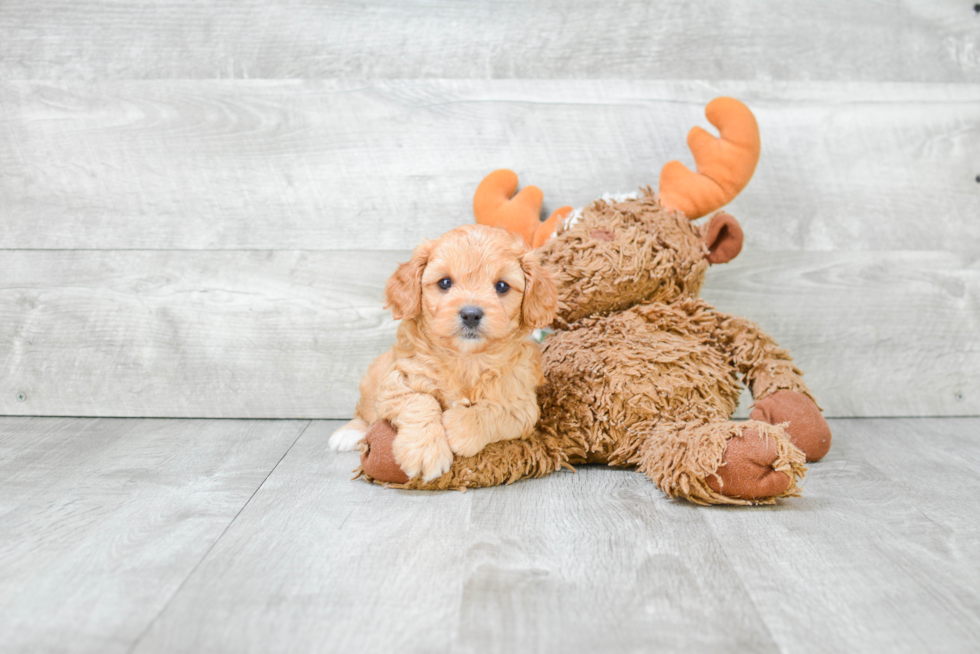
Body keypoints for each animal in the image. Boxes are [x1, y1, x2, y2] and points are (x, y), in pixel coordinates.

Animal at [332, 224, 556, 482]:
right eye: (445, 282)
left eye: (501, 286)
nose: (471, 314)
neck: (466, 359)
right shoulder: (395, 381)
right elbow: (419, 400)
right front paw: (424, 451)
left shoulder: (522, 404)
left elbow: (495, 410)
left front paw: (459, 427)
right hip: (372, 379)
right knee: (364, 411)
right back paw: (348, 433)